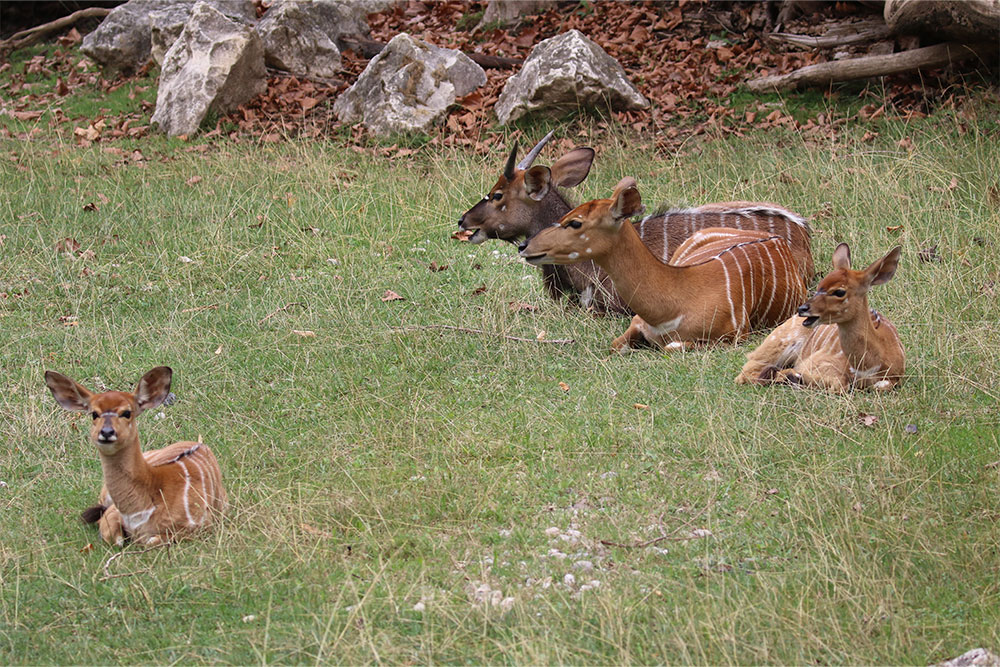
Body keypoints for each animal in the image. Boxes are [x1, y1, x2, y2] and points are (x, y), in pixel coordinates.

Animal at [46, 366, 225, 548]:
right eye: (94, 414)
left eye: (126, 412)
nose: (107, 432)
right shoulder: (113, 513)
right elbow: (114, 537)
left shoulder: (199, 527)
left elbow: (150, 540)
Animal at [520, 179, 808, 354]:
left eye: (575, 222)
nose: (525, 245)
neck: (674, 303)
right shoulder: (635, 322)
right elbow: (615, 345)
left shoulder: (732, 335)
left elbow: (671, 347)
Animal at [736, 244, 908, 392]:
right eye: (819, 286)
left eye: (839, 291)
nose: (803, 309)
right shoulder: (815, 363)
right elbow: (839, 384)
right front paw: (795, 377)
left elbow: (880, 385)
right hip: (776, 344)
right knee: (746, 373)